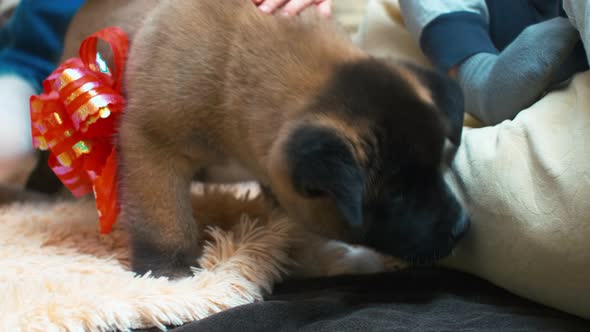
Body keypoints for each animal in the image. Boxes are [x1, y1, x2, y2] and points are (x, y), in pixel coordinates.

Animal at [48, 0, 470, 278]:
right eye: (396, 195)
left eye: (439, 171)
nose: (463, 228)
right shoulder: (153, 148)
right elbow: (165, 222)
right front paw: (169, 274)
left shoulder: (282, 184)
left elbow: (296, 231)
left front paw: (331, 259)